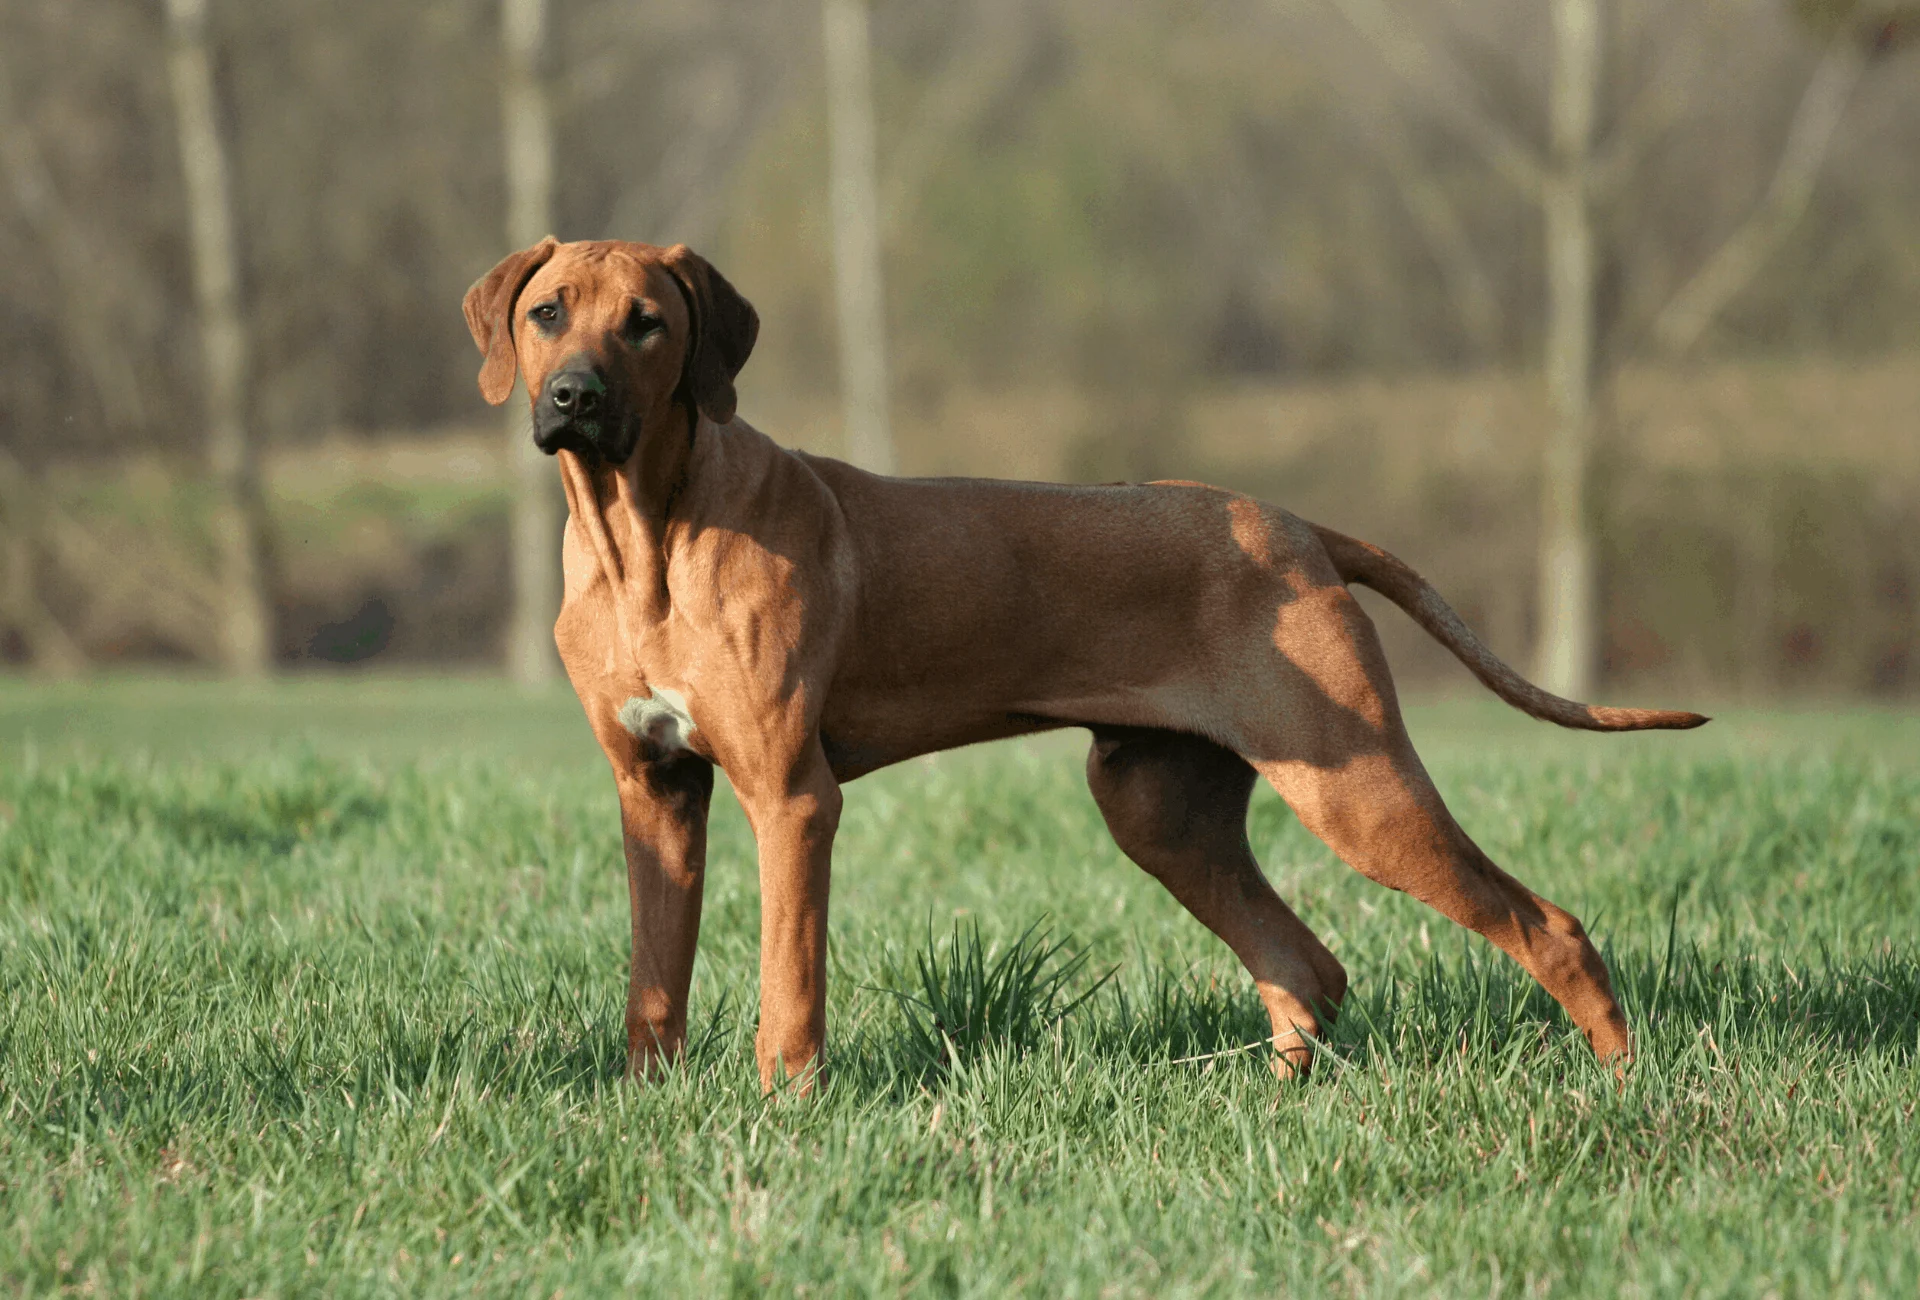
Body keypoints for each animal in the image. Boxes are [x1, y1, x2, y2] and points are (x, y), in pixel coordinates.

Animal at [464, 238, 1712, 1090]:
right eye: (547, 313)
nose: (573, 396)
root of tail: (1297, 527)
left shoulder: (791, 794)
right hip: (1159, 804)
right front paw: (650, 1099)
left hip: (1356, 789)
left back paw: (1622, 1083)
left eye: (647, 324)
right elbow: (654, 974)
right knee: (1307, 966)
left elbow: (789, 976)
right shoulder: (656, 791)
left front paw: (786, 1104)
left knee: (1545, 926)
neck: (645, 536)